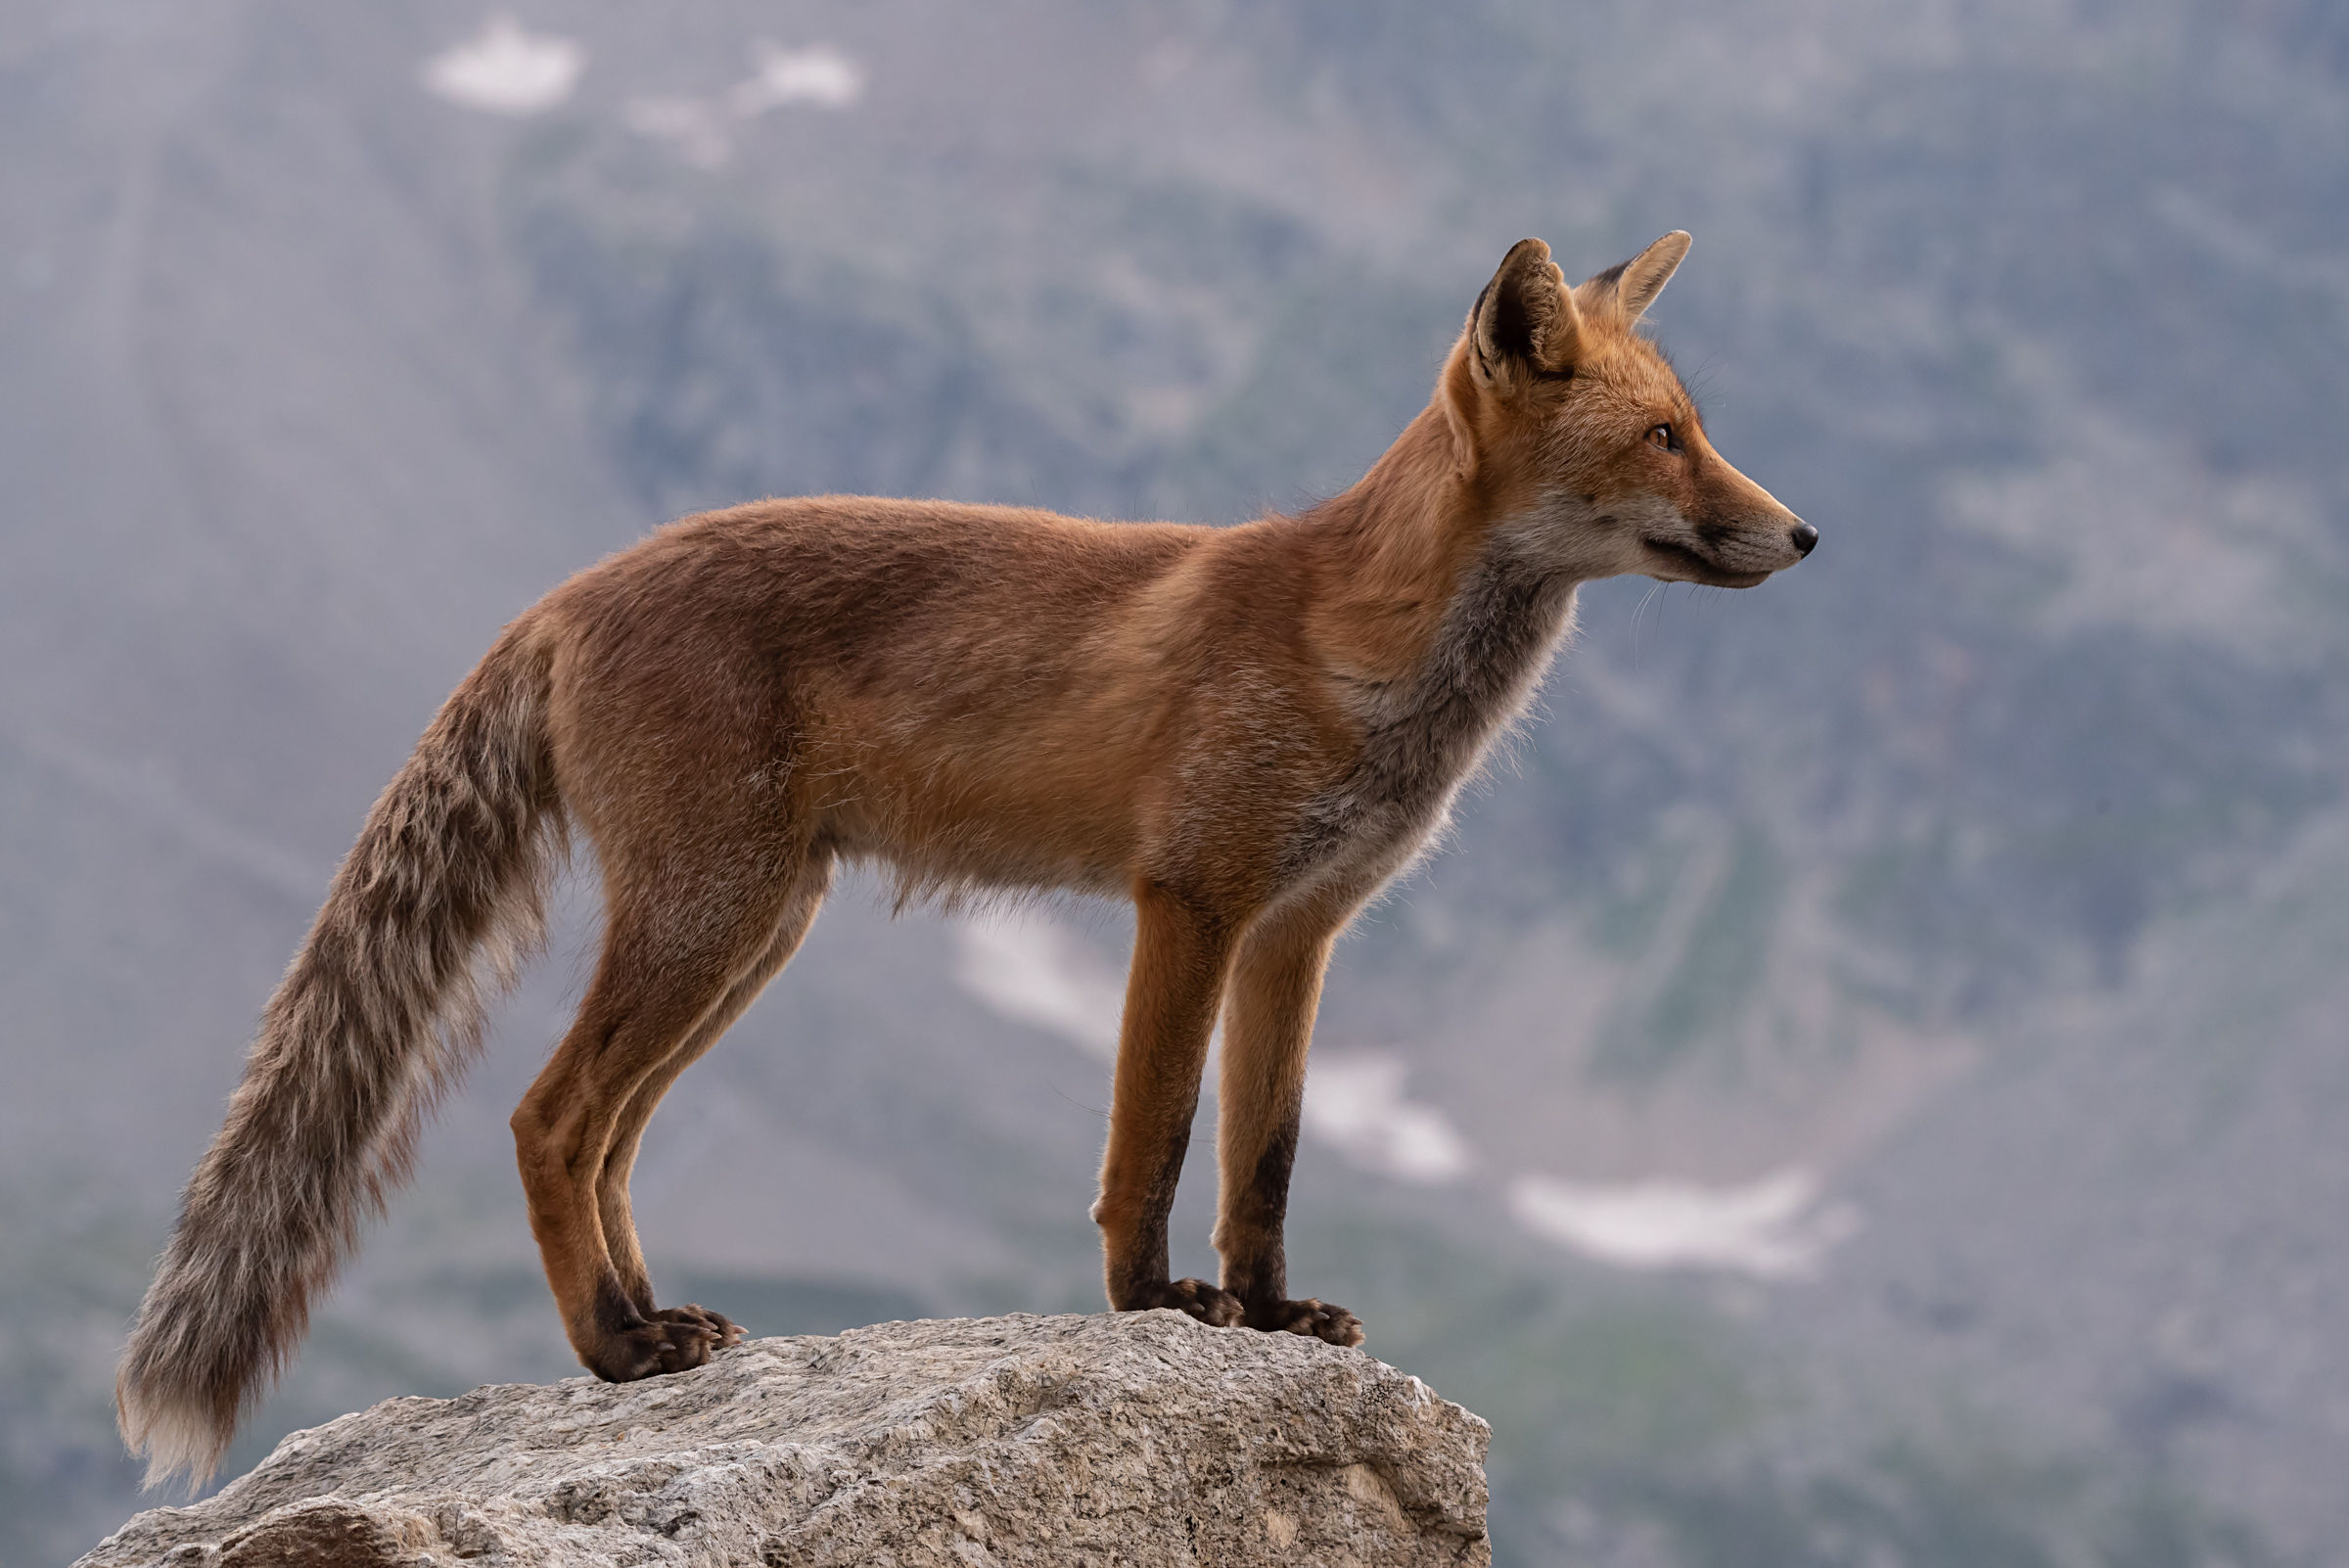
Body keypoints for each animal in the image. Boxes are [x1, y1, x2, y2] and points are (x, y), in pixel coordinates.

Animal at [116, 231, 1813, 1486]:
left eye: (1707, 431)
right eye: (1665, 439)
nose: (1804, 537)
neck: (1369, 653)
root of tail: (569, 588)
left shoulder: (1301, 932)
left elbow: (1262, 1160)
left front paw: (1271, 1317)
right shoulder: (1190, 899)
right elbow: (1153, 1146)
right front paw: (1156, 1309)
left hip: (754, 935)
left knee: (603, 1138)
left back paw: (651, 1325)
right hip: (712, 917)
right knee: (548, 1118)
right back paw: (612, 1346)